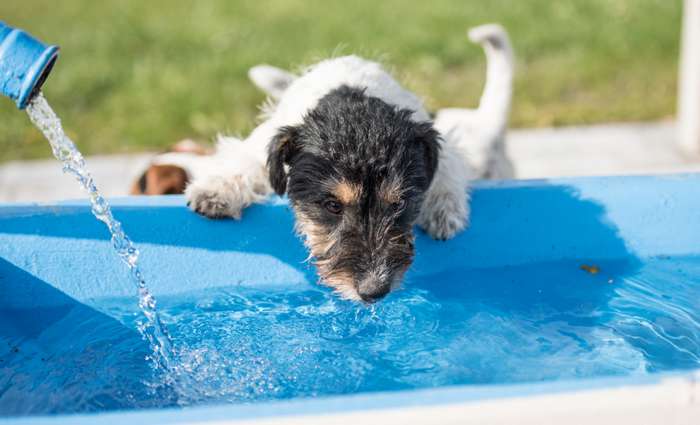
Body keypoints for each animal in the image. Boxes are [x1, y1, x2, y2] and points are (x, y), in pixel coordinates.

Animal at [185, 24, 516, 302]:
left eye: (399, 204)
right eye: (332, 206)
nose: (374, 292)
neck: (349, 99)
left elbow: (447, 170)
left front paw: (444, 209)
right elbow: (244, 162)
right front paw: (215, 192)